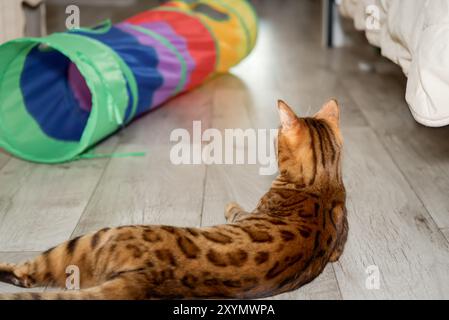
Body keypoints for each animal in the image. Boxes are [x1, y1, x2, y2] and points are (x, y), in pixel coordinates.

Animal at [0, 99, 346, 300]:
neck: (322, 180)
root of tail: (148, 278)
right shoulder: (338, 247)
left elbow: (237, 210)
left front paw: (230, 205)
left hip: (91, 239)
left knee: (29, 273)